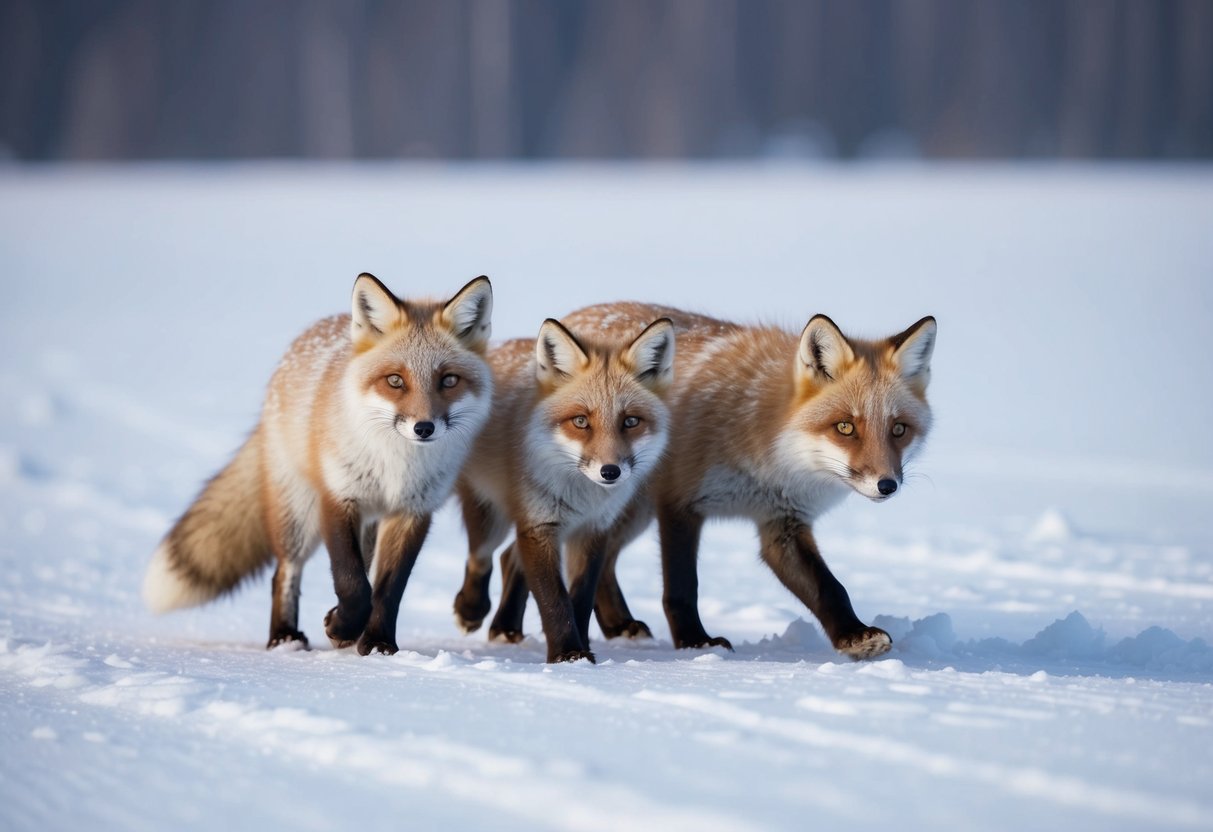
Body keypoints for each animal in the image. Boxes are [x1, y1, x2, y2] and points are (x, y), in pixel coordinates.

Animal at [142, 273, 494, 655]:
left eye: (448, 380)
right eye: (395, 380)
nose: (424, 428)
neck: (396, 466)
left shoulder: (412, 511)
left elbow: (388, 589)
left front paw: (378, 642)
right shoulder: (337, 495)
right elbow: (353, 583)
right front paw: (341, 626)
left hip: (366, 523)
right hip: (298, 513)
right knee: (284, 571)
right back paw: (283, 637)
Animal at [450, 316, 675, 663]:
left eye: (631, 422)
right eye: (581, 421)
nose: (610, 472)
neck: (581, 496)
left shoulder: (593, 529)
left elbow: (579, 599)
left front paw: (582, 651)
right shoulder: (539, 525)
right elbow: (554, 599)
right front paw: (568, 654)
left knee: (508, 557)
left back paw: (506, 626)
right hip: (489, 514)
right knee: (482, 556)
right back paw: (472, 611)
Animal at [488, 304, 935, 660]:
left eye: (898, 430)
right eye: (845, 427)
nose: (887, 485)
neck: (767, 451)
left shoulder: (781, 523)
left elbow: (828, 587)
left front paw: (853, 635)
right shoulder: (680, 503)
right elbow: (683, 587)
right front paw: (695, 642)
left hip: (628, 509)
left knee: (574, 559)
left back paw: (617, 625)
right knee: (525, 554)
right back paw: (508, 628)